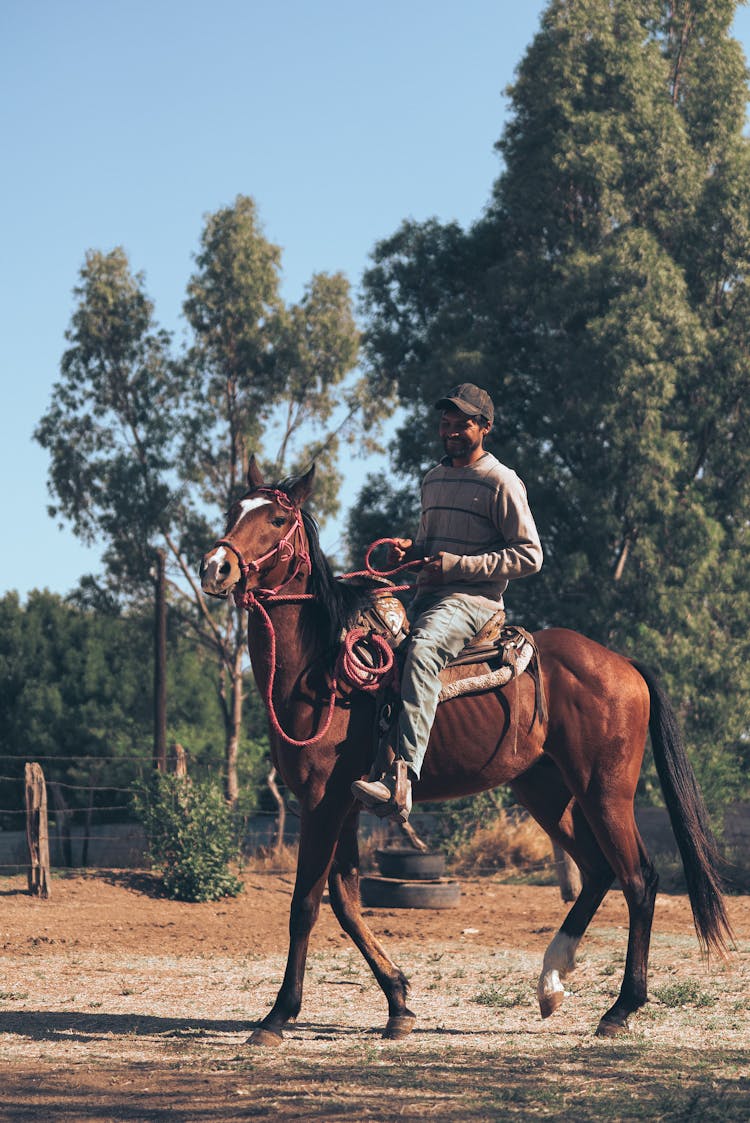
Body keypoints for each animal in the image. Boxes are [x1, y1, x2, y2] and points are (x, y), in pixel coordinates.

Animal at [198, 458, 732, 1042]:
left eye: (275, 518)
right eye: (234, 509)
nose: (216, 567)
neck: (325, 670)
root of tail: (624, 664)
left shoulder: (322, 802)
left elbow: (306, 905)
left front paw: (278, 1015)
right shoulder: (342, 806)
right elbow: (345, 900)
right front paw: (399, 1002)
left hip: (605, 792)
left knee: (639, 879)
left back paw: (620, 1008)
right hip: (545, 790)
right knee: (596, 871)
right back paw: (551, 983)